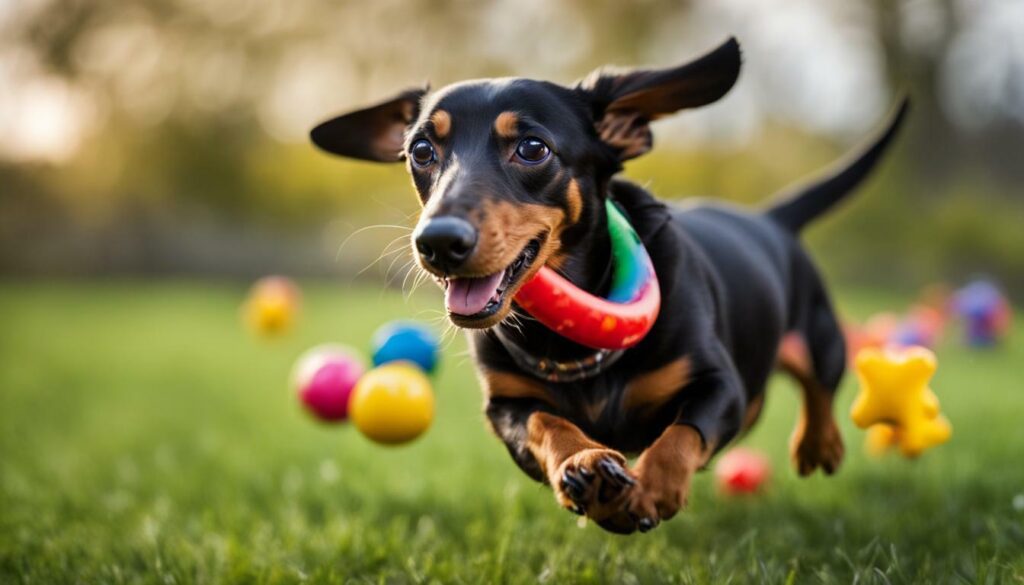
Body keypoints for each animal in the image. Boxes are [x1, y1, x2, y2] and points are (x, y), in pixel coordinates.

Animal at [307, 38, 909, 536]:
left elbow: (681, 435)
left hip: (820, 336)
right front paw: (587, 464)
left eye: (532, 148)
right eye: (421, 152)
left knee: (819, 382)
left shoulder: (719, 385)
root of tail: (771, 218)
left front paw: (651, 489)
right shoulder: (506, 408)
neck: (570, 344)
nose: (437, 242)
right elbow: (547, 422)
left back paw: (818, 443)